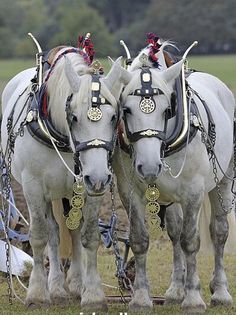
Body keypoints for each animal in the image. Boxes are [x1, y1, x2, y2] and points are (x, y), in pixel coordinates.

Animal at [0, 45, 121, 312]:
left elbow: (88, 236)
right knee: (53, 233)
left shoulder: (89, 189)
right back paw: (55, 287)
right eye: (74, 117)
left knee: (72, 232)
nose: (99, 177)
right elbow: (39, 236)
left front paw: (93, 293)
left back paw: (75, 284)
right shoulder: (33, 186)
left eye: (114, 117)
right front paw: (37, 293)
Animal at [111, 44, 236, 314]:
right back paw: (176, 290)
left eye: (167, 109)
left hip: (223, 180)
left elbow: (191, 241)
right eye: (126, 109)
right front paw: (141, 298)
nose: (149, 166)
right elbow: (140, 240)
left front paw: (193, 298)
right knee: (175, 234)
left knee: (218, 232)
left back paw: (220, 291)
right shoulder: (129, 192)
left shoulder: (193, 192)